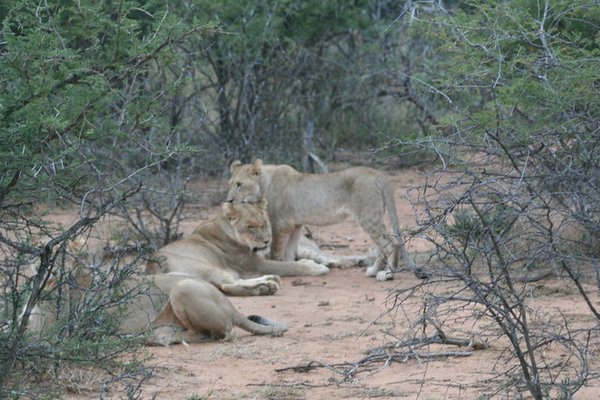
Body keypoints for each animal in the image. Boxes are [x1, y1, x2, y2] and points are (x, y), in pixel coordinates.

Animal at [147, 199, 330, 296]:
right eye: (250, 227)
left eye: (264, 224)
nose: (267, 241)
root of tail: (152, 267)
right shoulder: (255, 264)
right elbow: (289, 265)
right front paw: (316, 267)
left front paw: (309, 261)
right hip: (205, 267)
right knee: (226, 284)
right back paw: (267, 284)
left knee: (229, 284)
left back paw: (267, 283)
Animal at [225, 160, 426, 282]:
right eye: (230, 184)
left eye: (239, 184)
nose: (228, 200)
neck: (264, 184)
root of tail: (376, 173)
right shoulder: (296, 225)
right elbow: (290, 253)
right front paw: (298, 268)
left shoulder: (281, 225)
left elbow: (276, 254)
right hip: (372, 217)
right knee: (383, 246)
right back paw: (373, 271)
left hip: (368, 216)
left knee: (391, 244)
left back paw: (387, 274)